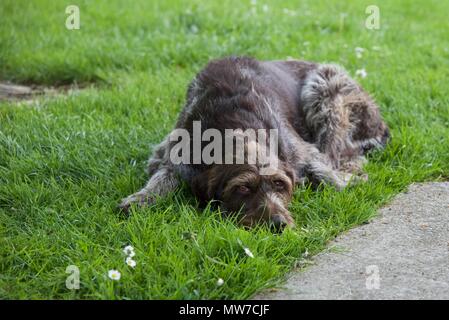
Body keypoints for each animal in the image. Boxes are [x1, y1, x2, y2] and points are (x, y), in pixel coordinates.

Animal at [119, 57, 388, 230]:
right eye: (243, 188)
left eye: (280, 184)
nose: (278, 224)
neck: (233, 120)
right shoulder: (170, 154)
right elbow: (162, 178)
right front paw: (140, 198)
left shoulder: (303, 153)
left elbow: (328, 175)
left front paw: (348, 181)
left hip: (325, 89)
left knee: (341, 153)